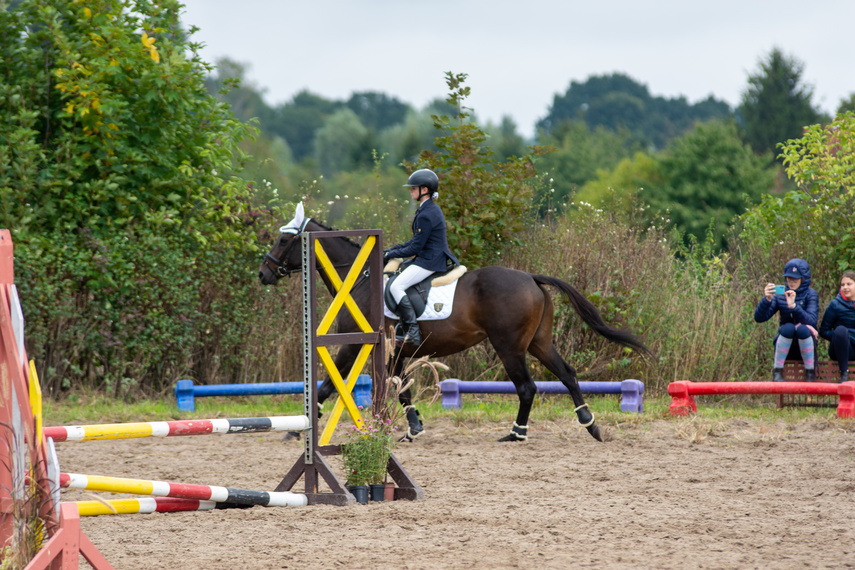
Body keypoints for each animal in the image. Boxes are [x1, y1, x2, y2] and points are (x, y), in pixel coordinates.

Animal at [258, 204, 652, 440]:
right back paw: (590, 424)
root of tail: (531, 277)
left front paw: (299, 429)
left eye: (283, 240)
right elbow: (401, 389)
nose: (263, 274)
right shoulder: (395, 351)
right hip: (538, 342)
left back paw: (516, 432)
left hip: (509, 346)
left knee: (527, 387)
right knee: (567, 374)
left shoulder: (354, 346)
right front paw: (413, 427)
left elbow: (327, 386)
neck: (357, 280)